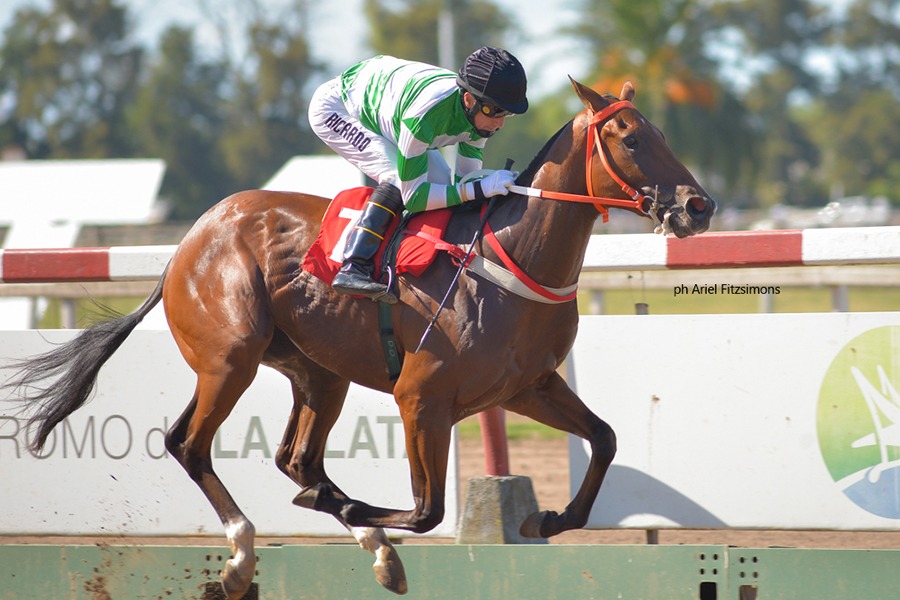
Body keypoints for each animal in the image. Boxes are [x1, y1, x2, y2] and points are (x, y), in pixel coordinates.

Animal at [6, 78, 715, 599]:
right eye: (630, 137)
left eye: (658, 131)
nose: (698, 205)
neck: (508, 256)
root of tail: (188, 242)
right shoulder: (421, 398)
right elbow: (427, 510)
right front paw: (358, 516)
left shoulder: (525, 388)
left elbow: (605, 438)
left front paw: (547, 518)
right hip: (230, 358)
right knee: (188, 443)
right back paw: (240, 559)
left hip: (320, 372)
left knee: (296, 459)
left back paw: (361, 540)